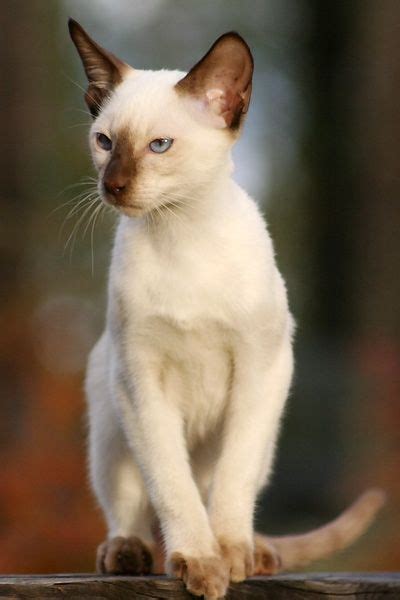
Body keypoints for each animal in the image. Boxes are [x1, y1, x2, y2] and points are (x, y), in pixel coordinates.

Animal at [69, 19, 384, 600]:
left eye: (160, 146)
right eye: (104, 142)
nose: (113, 185)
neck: (181, 233)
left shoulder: (260, 369)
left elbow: (232, 483)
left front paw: (230, 558)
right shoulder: (140, 380)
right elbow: (173, 487)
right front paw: (199, 562)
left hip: (263, 429)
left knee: (231, 485)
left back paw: (257, 554)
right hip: (110, 422)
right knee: (132, 506)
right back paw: (128, 554)